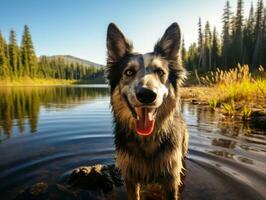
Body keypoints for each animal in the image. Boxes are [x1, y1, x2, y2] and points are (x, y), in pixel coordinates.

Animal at [105, 22, 188, 199]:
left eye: (160, 72)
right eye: (129, 72)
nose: (146, 94)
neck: (147, 140)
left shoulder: (171, 178)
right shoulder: (130, 177)